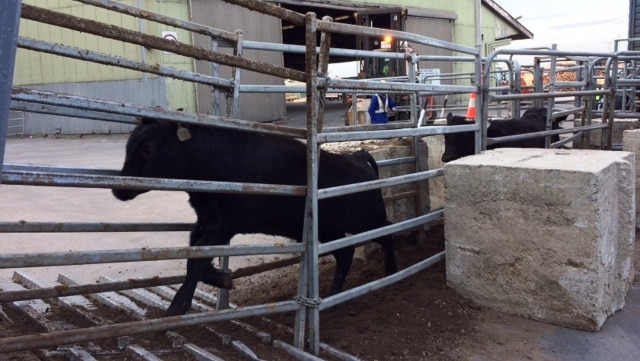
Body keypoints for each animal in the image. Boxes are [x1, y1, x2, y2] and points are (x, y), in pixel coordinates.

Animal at [112, 117, 398, 316]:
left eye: (147, 149)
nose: (118, 189)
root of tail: (358, 157)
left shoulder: (226, 223)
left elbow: (198, 259)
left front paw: (178, 304)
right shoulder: (204, 221)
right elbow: (194, 255)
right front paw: (221, 278)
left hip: (367, 220)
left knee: (388, 233)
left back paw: (391, 272)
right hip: (331, 231)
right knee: (346, 254)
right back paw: (333, 294)